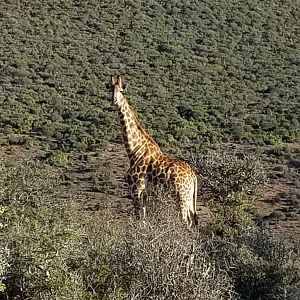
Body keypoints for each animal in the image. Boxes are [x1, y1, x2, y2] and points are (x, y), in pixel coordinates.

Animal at [109, 75, 198, 227]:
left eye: (121, 91)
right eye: (109, 89)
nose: (114, 100)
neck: (133, 151)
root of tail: (193, 176)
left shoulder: (136, 189)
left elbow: (138, 219)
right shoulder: (145, 193)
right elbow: (144, 220)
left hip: (181, 196)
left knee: (185, 221)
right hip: (189, 199)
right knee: (192, 221)